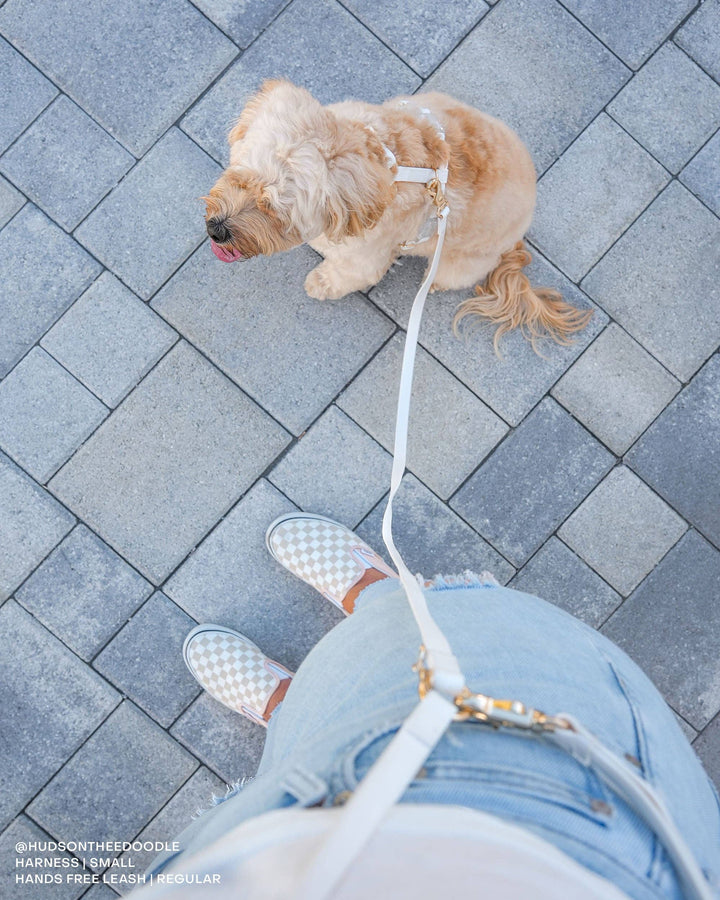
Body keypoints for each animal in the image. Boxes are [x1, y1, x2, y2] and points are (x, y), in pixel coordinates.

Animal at [202, 81, 592, 348]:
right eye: (239, 179)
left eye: (272, 210)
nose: (217, 231)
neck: (383, 159)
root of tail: (517, 240)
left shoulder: (366, 255)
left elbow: (345, 272)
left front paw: (322, 280)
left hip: (459, 261)